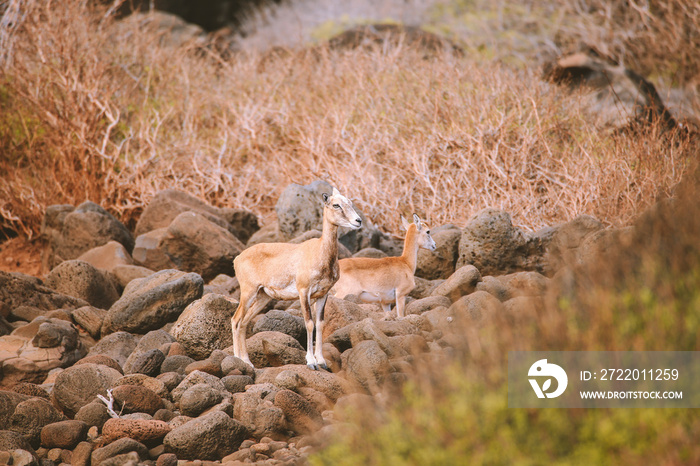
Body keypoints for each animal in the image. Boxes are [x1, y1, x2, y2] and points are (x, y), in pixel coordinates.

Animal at [231, 187, 360, 370]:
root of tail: (237, 259)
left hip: (263, 296)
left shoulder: (323, 295)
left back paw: (248, 362)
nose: (358, 221)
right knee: (235, 320)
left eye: (350, 202)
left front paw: (322, 361)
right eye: (336, 204)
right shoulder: (303, 292)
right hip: (248, 293)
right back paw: (238, 361)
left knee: (244, 323)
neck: (319, 252)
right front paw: (311, 362)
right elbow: (309, 323)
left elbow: (320, 324)